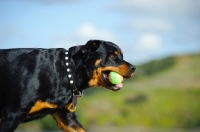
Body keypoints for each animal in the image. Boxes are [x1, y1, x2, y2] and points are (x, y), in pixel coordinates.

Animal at [0, 39, 135, 131]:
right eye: (112, 55)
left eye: (121, 55)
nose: (134, 68)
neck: (67, 71)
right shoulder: (12, 115)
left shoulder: (66, 116)